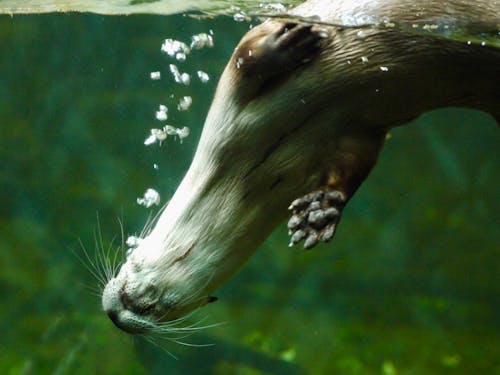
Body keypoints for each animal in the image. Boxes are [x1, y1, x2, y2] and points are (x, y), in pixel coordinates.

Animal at [100, 0, 496, 334]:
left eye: (156, 306)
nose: (116, 315)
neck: (252, 172)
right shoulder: (351, 132)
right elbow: (247, 54)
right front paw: (320, 211)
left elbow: (246, 51)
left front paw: (320, 212)